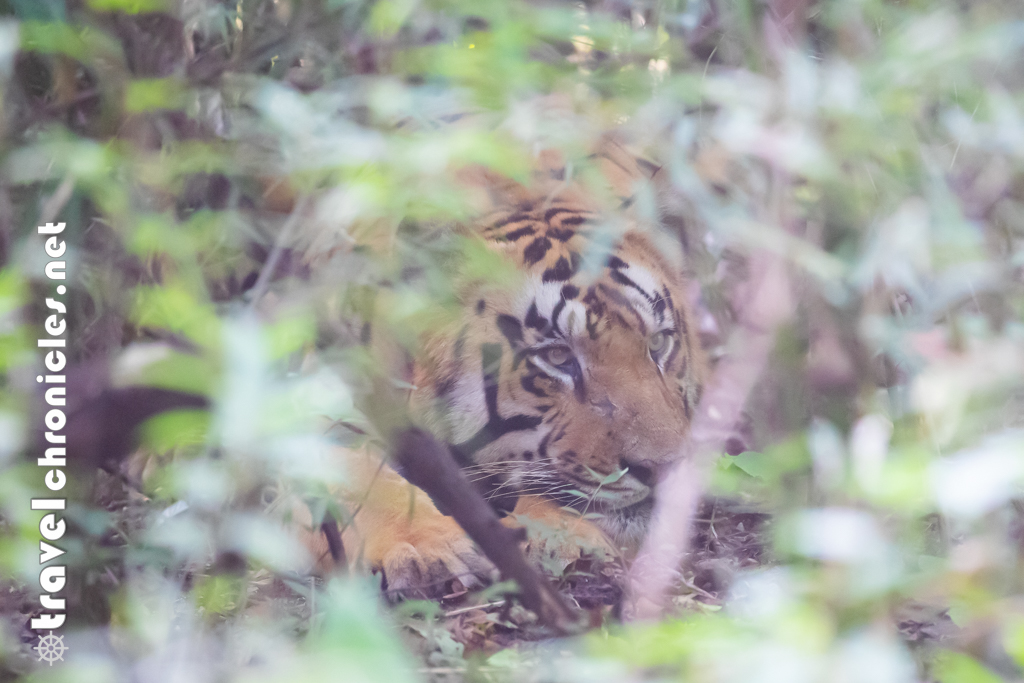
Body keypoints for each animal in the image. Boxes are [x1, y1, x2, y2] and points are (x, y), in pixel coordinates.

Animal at [299, 135, 708, 598]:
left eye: (657, 344)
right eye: (558, 357)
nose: (664, 470)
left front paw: (560, 537)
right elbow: (360, 481)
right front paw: (428, 548)